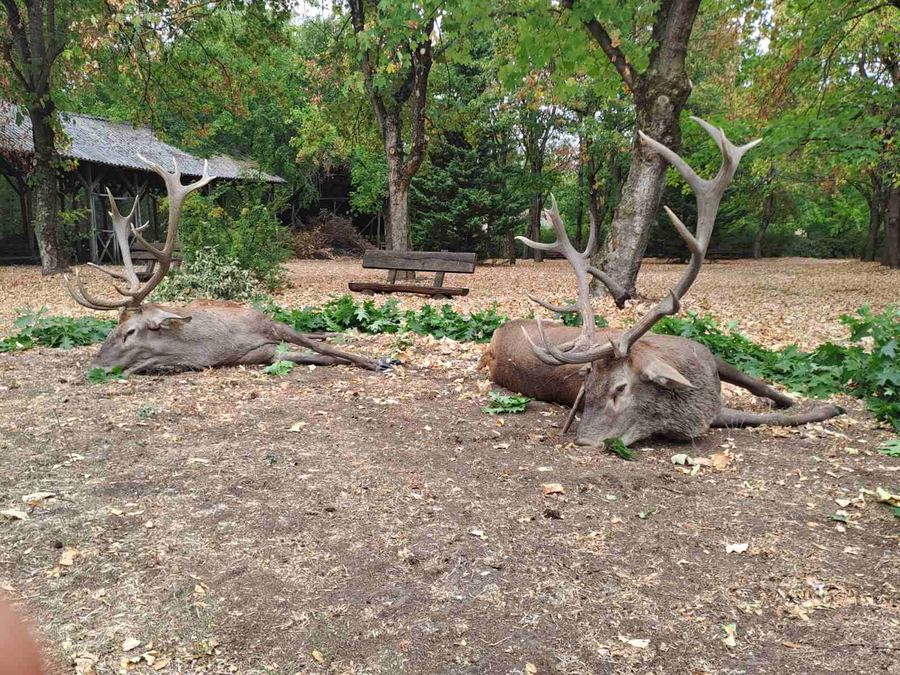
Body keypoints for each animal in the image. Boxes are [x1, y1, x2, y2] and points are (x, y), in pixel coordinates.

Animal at [65, 155, 385, 374]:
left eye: (129, 332)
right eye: (110, 329)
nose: (95, 366)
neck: (217, 345)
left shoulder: (267, 322)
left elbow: (321, 347)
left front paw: (378, 361)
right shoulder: (266, 354)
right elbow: (322, 356)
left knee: (314, 333)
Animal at [480, 118, 844, 447]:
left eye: (621, 387)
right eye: (587, 389)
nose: (584, 441)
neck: (700, 391)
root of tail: (495, 340)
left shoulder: (705, 352)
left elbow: (758, 383)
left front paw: (802, 401)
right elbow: (765, 418)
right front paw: (827, 408)